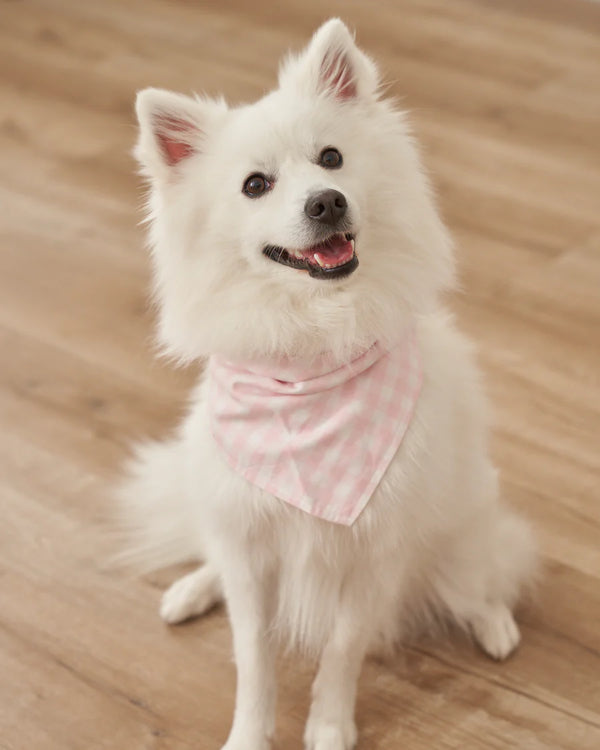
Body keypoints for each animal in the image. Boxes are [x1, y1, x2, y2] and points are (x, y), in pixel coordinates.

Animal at [119, 17, 536, 750]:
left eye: (333, 159)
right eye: (256, 185)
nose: (326, 201)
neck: (310, 357)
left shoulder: (373, 554)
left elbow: (342, 650)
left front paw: (330, 727)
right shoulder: (251, 546)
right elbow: (253, 656)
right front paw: (250, 735)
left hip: (461, 528)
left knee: (479, 573)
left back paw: (493, 622)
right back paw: (192, 589)